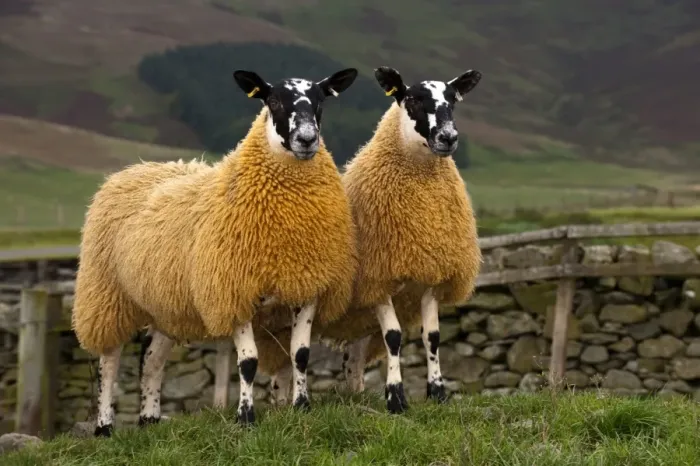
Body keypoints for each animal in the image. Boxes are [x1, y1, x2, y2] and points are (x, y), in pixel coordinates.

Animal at [71, 67, 360, 436]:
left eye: (321, 99)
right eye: (273, 100)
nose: (307, 140)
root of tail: (132, 169)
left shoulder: (308, 286)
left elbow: (301, 354)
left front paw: (302, 407)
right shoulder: (232, 290)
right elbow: (248, 362)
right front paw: (245, 417)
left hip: (165, 305)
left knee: (151, 359)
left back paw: (150, 420)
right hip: (107, 295)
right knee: (109, 361)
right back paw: (105, 426)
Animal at [267, 66, 483, 414]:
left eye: (453, 100)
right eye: (413, 100)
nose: (448, 137)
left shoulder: (431, 276)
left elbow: (432, 337)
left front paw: (437, 393)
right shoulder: (378, 278)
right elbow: (393, 337)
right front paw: (395, 397)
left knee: (350, 361)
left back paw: (354, 395)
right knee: (284, 362)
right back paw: (281, 406)